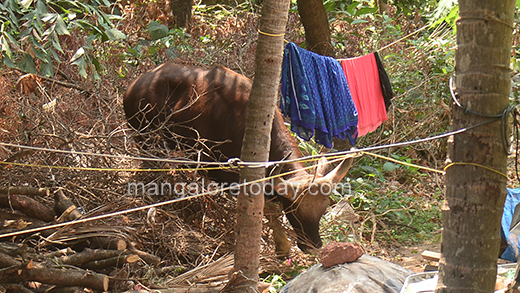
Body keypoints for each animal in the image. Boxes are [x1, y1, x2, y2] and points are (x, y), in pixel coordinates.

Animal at [124, 62, 356, 254]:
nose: (313, 246)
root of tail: (134, 86)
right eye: (295, 211)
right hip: (145, 141)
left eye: (324, 208)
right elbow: (267, 208)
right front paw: (281, 246)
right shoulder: (230, 177)